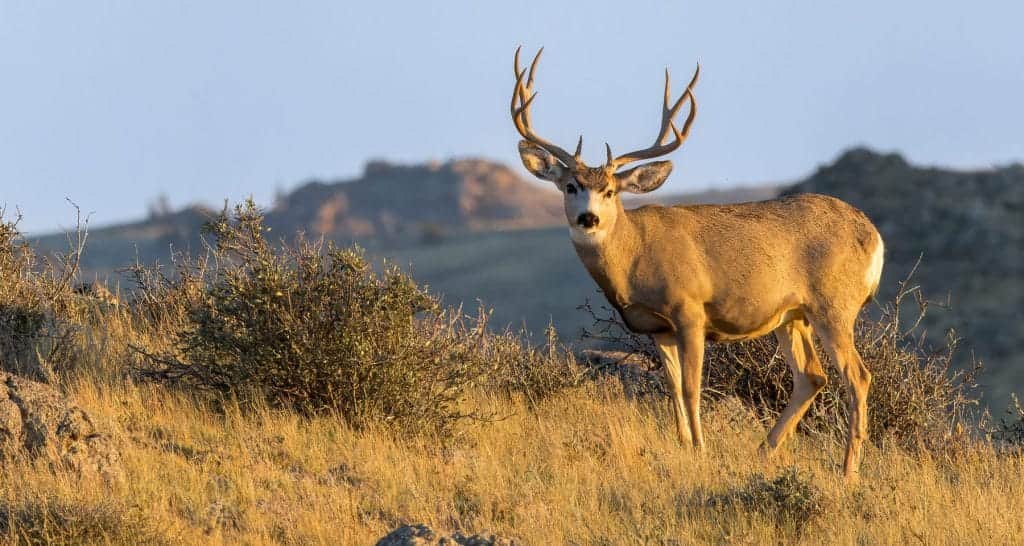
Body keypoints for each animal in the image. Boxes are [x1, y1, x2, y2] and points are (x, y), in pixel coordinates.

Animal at [510, 47, 884, 479]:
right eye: (571, 186)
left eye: (610, 191)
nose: (589, 218)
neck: (635, 255)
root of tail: (873, 235)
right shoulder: (658, 328)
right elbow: (672, 389)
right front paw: (683, 446)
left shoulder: (689, 310)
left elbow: (691, 388)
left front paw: (701, 450)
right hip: (793, 315)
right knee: (812, 375)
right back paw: (764, 451)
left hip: (833, 303)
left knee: (857, 376)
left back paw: (847, 470)